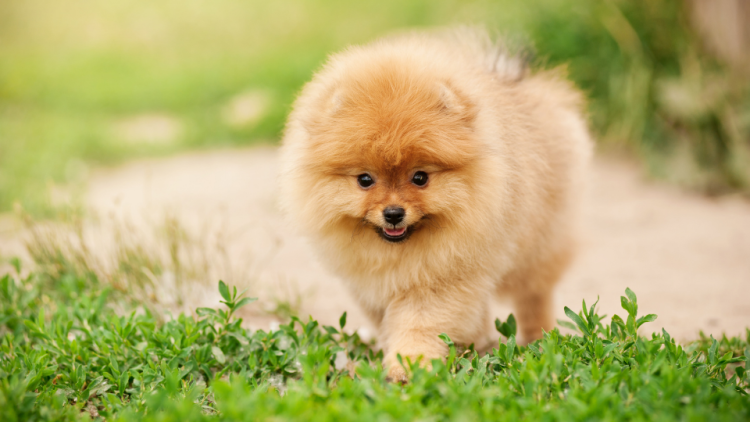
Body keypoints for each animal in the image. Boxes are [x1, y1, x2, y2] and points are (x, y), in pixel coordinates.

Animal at [280, 28, 596, 380]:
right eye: (365, 180)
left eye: (420, 178)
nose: (393, 213)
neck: (399, 253)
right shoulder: (370, 285)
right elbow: (390, 319)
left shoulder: (442, 279)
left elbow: (420, 323)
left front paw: (410, 363)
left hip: (538, 244)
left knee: (534, 294)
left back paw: (538, 339)